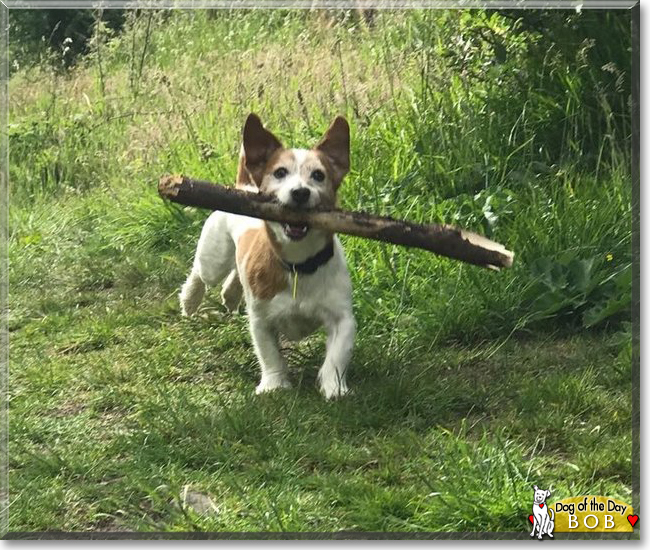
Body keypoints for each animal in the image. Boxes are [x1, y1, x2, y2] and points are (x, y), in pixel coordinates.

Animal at [178, 115, 354, 402]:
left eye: (319, 175)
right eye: (279, 172)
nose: (300, 192)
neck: (299, 265)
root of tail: (243, 185)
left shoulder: (343, 318)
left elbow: (337, 357)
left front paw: (334, 388)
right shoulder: (261, 321)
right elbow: (269, 354)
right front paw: (274, 385)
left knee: (233, 277)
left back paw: (230, 296)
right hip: (213, 257)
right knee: (200, 273)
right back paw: (190, 300)